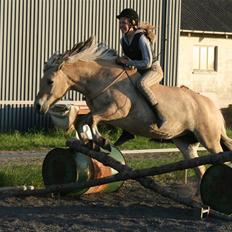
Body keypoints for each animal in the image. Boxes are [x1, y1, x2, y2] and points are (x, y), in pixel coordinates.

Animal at [34, 36, 232, 188]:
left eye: (50, 81)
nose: (38, 106)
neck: (100, 80)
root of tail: (212, 106)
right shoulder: (102, 111)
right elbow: (81, 121)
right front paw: (90, 143)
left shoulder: (116, 111)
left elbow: (92, 120)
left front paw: (102, 141)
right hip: (185, 141)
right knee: (200, 169)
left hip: (209, 138)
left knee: (221, 160)